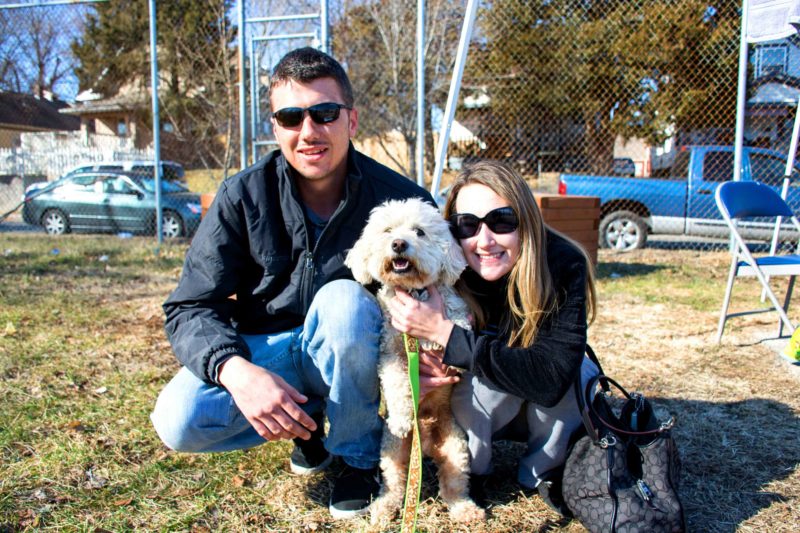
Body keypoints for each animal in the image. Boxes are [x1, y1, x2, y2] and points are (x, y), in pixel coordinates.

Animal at [342, 197, 484, 520]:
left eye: (419, 232)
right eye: (387, 231)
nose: (398, 244)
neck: (414, 292)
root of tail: (427, 445)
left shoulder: (451, 307)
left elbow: (456, 322)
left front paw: (444, 346)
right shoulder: (390, 352)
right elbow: (396, 384)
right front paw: (402, 418)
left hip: (457, 447)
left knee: (454, 484)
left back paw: (466, 510)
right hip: (392, 451)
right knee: (394, 484)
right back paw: (383, 509)